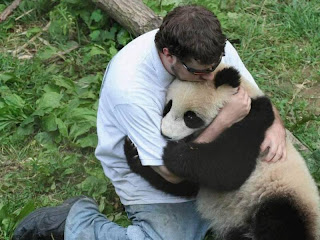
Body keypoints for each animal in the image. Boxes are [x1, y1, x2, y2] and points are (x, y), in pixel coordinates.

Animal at [123, 63, 320, 240]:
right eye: (168, 106)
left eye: (190, 117)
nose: (166, 134)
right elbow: (185, 183)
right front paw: (133, 152)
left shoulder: (254, 121)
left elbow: (227, 168)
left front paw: (173, 153)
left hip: (282, 198)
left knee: (280, 224)